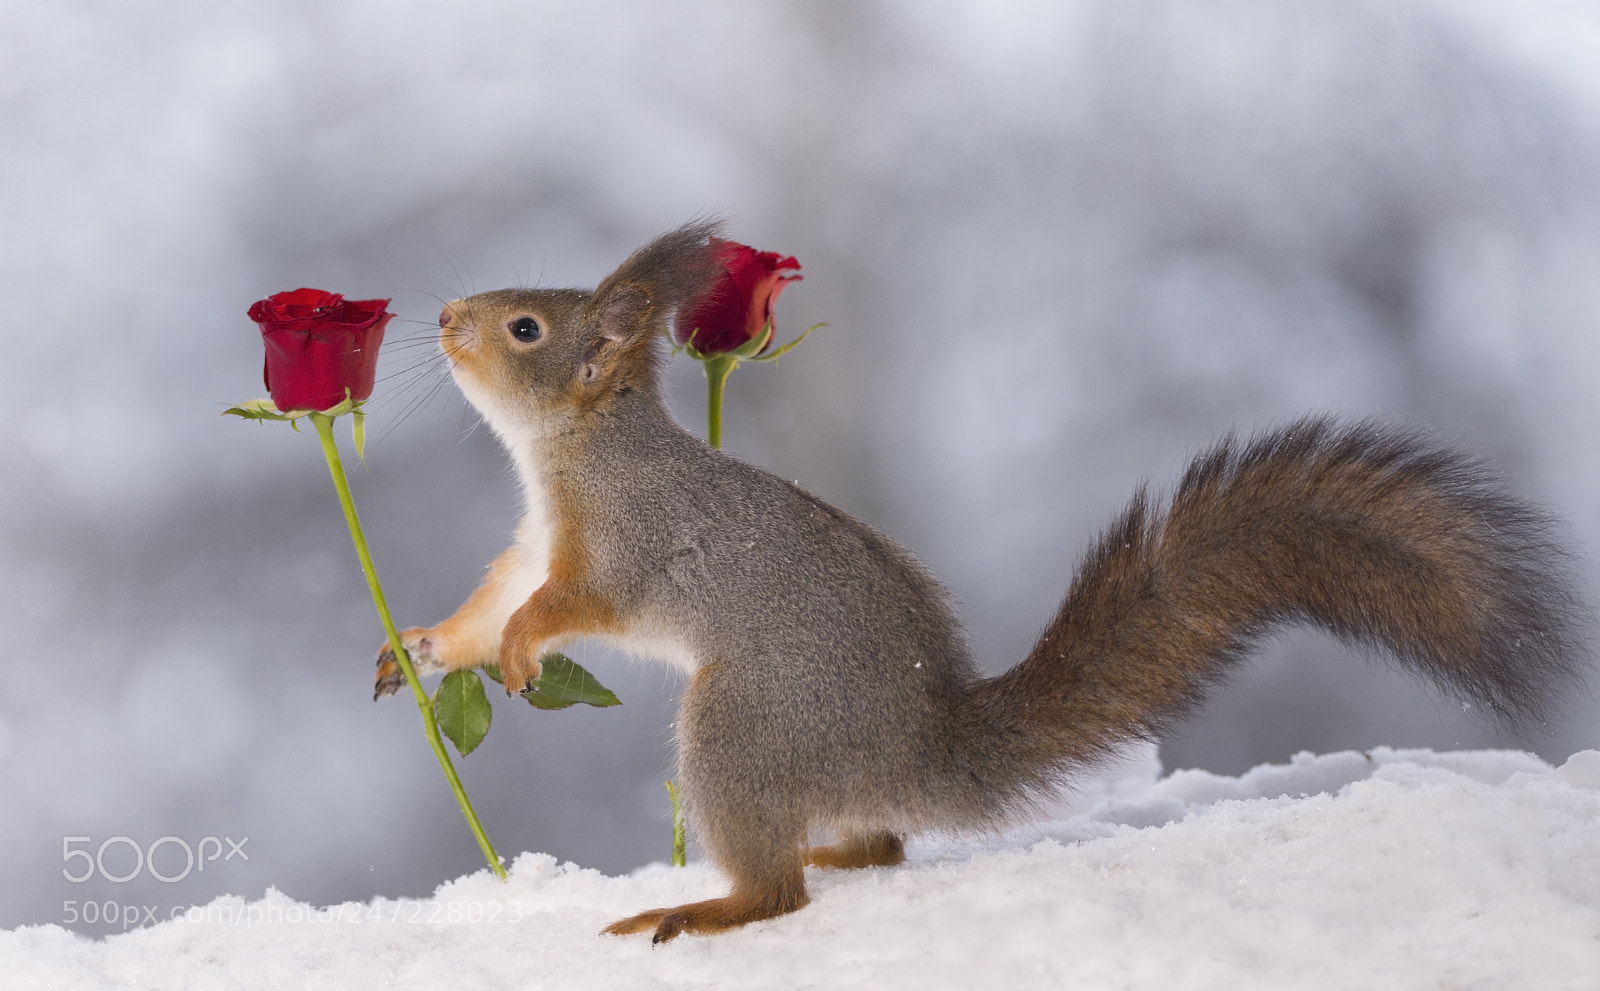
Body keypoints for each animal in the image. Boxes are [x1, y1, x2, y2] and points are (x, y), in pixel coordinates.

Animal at [375, 220, 1584, 943]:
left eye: (524, 327)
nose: (440, 318)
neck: (570, 452)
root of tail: (921, 746)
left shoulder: (627, 543)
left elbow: (570, 608)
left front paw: (523, 652)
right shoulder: (528, 547)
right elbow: (488, 610)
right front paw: (422, 647)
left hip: (741, 722)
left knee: (784, 891)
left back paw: (708, 909)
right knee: (875, 843)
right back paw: (821, 847)